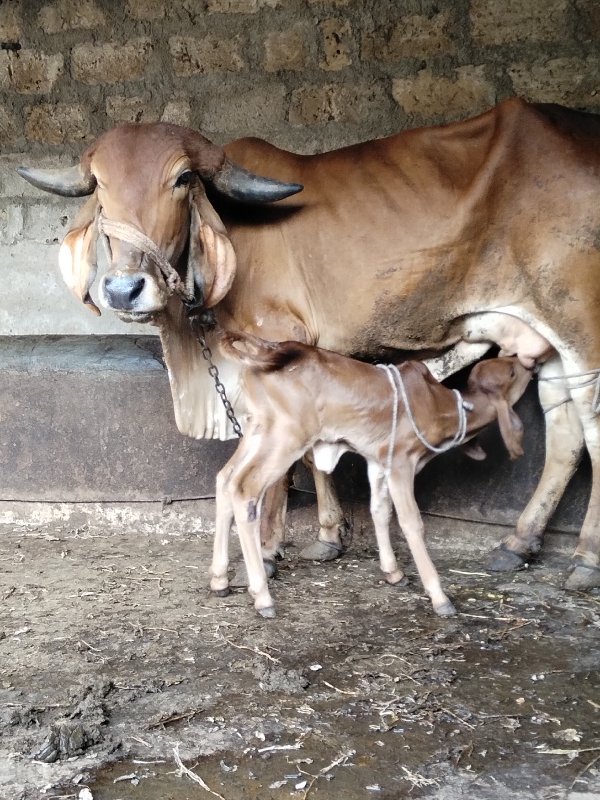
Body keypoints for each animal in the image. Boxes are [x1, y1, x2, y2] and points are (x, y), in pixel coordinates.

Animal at [17, 98, 600, 588]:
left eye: (182, 178)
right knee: (566, 432)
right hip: (549, 339)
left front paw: (267, 550)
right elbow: (319, 447)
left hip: (582, 323)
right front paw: (327, 537)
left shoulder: (275, 344)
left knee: (591, 426)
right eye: (98, 184)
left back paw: (585, 560)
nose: (122, 289)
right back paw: (519, 542)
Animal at [209, 332, 532, 620]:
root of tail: (269, 350)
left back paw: (219, 579)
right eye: (511, 372)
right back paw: (262, 597)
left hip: (257, 431)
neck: (439, 406)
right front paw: (439, 596)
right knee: (245, 490)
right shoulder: (402, 461)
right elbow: (411, 522)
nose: (526, 361)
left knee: (225, 479)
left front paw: (393, 572)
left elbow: (380, 510)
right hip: (286, 437)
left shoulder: (378, 462)